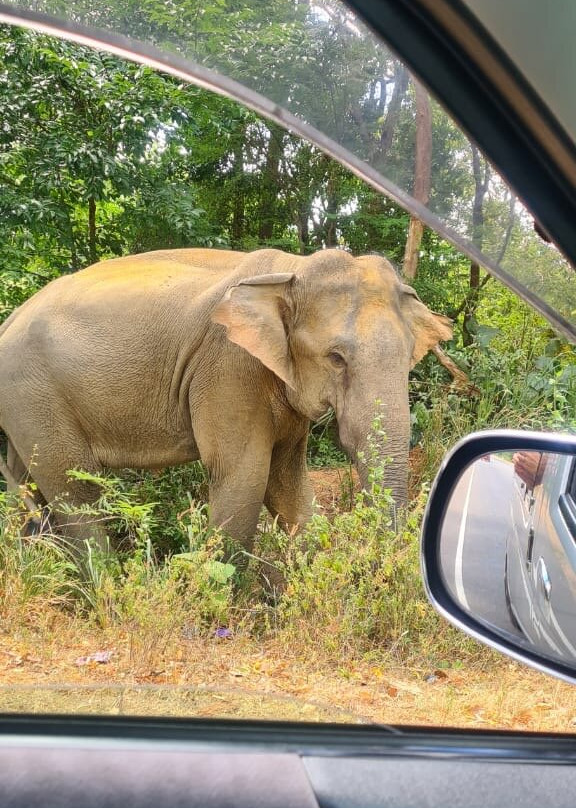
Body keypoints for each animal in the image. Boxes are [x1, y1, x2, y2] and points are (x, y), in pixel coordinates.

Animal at [0, 248, 452, 556]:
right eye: (336, 358)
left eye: (411, 355)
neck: (293, 269)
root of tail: (11, 318)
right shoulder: (229, 368)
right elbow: (244, 475)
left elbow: (286, 482)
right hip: (33, 391)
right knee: (73, 488)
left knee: (27, 483)